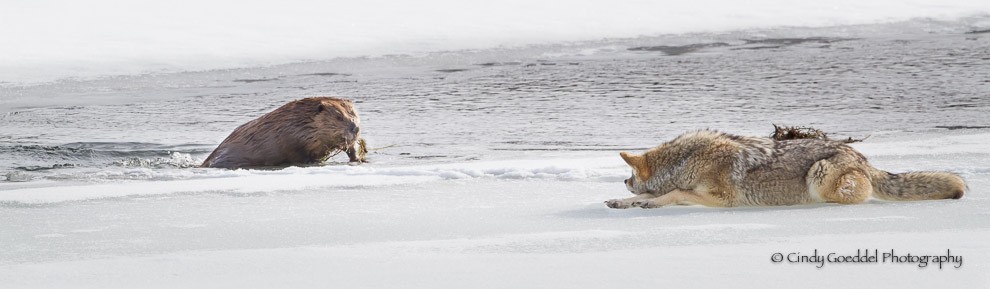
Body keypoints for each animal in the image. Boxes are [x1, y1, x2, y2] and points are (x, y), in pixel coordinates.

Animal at [202, 97, 368, 168]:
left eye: (354, 113)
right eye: (339, 117)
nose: (355, 128)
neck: (300, 122)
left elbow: (349, 147)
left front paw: (359, 159)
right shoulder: (294, 139)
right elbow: (301, 154)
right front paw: (315, 161)